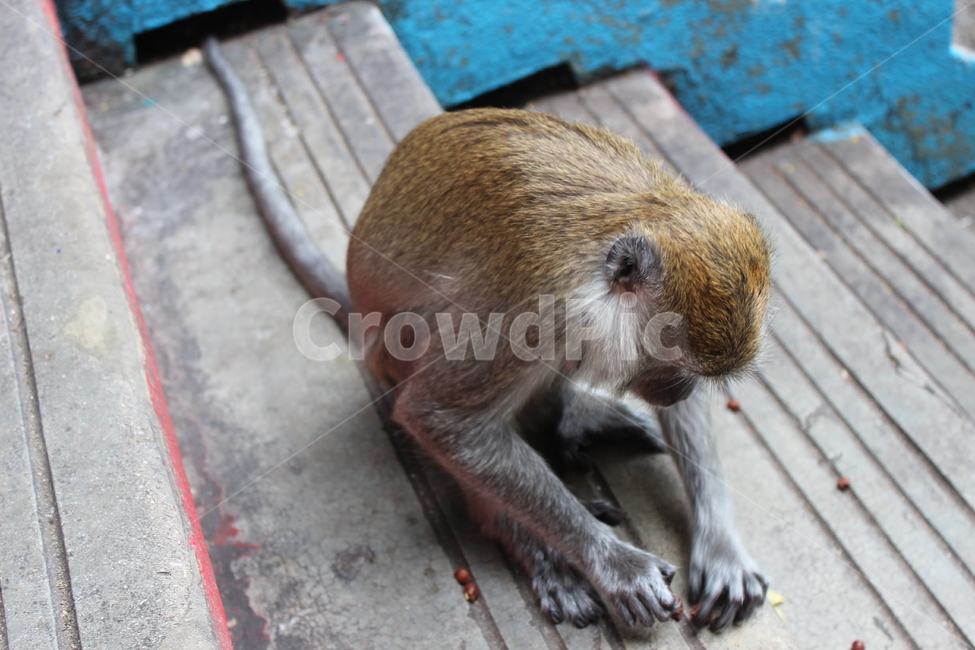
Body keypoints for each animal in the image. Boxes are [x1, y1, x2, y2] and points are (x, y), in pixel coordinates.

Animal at [205, 38, 771, 632]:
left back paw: (573, 419)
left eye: (694, 376)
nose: (679, 389)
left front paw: (721, 547)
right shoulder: (529, 312)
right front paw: (610, 561)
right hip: (397, 356)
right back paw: (531, 543)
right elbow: (440, 420)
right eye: (672, 366)